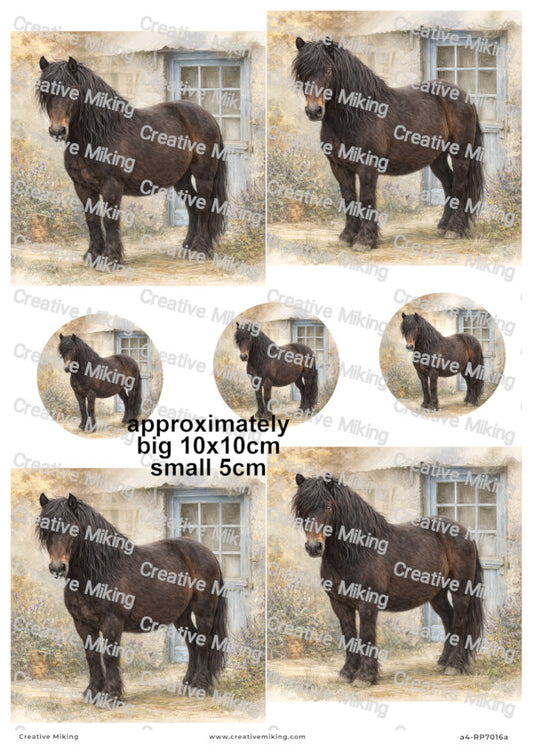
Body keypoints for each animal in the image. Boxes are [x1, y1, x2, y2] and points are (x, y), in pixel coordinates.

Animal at [36, 56, 228, 264]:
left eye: (72, 90)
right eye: (45, 92)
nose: (57, 131)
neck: (101, 135)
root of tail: (208, 116)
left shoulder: (112, 185)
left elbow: (109, 219)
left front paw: (110, 258)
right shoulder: (82, 187)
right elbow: (92, 219)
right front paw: (93, 254)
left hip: (203, 176)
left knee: (203, 206)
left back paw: (200, 249)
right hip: (181, 179)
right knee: (192, 206)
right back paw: (186, 248)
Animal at [36, 493, 228, 700]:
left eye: (72, 528)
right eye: (45, 529)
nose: (57, 567)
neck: (100, 572)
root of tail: (209, 553)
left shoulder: (112, 622)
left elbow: (109, 656)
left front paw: (111, 695)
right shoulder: (83, 624)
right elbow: (92, 656)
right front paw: (93, 691)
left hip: (203, 612)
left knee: (203, 643)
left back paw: (200, 686)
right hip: (181, 616)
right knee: (192, 643)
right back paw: (187, 684)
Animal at [291, 474, 484, 686]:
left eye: (328, 506)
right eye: (301, 507)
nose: (314, 547)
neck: (359, 550)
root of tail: (465, 532)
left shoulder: (368, 603)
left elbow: (366, 635)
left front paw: (365, 676)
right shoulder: (339, 603)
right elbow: (349, 635)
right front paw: (347, 672)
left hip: (461, 591)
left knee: (460, 622)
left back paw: (455, 666)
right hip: (437, 595)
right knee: (448, 621)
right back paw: (442, 663)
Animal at [292, 38, 484, 251]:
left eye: (328, 70)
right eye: (301, 71)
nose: (314, 111)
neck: (358, 115)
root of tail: (465, 96)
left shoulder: (368, 167)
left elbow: (366, 198)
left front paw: (365, 240)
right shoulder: (339, 167)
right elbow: (349, 198)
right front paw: (347, 236)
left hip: (460, 154)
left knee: (459, 186)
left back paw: (455, 229)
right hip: (436, 159)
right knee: (448, 185)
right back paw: (442, 226)